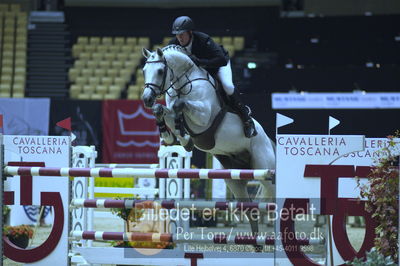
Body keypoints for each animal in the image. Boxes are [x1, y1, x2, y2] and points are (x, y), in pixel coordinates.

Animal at [141, 45, 276, 235]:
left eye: (160, 71)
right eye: (144, 70)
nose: (146, 99)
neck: (183, 83)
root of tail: (269, 140)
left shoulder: (203, 116)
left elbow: (180, 105)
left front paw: (182, 135)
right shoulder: (172, 112)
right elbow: (162, 110)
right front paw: (172, 137)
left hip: (264, 170)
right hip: (234, 178)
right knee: (250, 208)